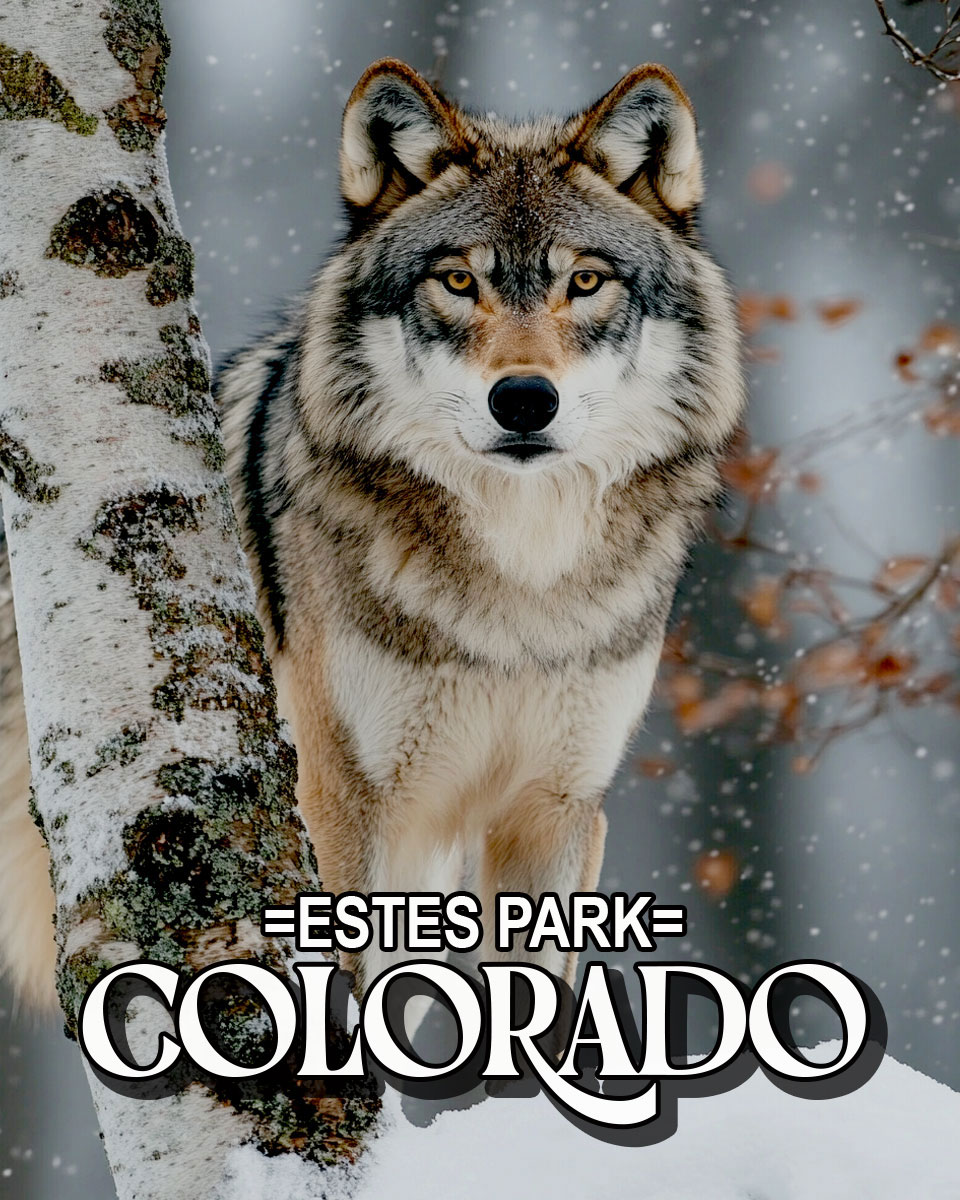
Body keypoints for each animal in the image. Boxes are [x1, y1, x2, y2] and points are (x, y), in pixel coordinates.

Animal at [0, 59, 743, 1010]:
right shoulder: (342, 802)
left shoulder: (556, 809)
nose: (524, 400)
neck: (520, 587)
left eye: (585, 282)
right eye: (458, 282)